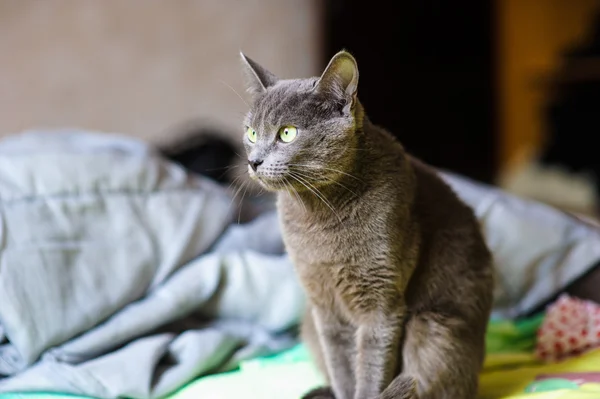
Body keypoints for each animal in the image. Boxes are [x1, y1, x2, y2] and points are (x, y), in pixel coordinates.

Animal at [239, 50, 492, 399]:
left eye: (287, 133)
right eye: (251, 133)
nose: (254, 161)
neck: (318, 214)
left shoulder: (381, 301)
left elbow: (371, 366)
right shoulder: (323, 306)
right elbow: (341, 366)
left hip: (434, 327)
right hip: (310, 324)